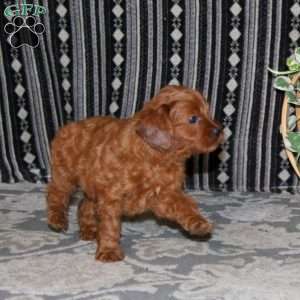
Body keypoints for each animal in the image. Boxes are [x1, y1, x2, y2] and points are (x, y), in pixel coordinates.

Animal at [47, 85, 223, 262]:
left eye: (207, 113)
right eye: (193, 119)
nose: (219, 131)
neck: (154, 155)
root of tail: (69, 126)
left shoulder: (166, 194)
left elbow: (184, 205)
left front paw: (198, 223)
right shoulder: (112, 196)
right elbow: (110, 225)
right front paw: (109, 251)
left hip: (92, 184)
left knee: (84, 204)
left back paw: (89, 230)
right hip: (64, 172)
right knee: (56, 193)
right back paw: (57, 220)